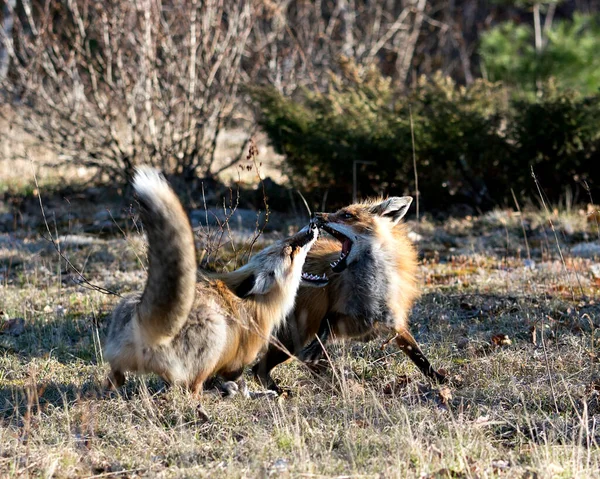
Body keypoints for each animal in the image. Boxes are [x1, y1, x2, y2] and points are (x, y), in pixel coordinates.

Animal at [102, 167, 324, 396]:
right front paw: (257, 394)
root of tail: (143, 321)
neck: (257, 305)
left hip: (118, 356)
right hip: (215, 334)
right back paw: (216, 395)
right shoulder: (237, 361)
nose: (313, 225)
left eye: (286, 241)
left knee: (114, 380)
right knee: (193, 391)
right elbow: (243, 386)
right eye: (291, 250)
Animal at [253, 197, 446, 392]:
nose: (314, 214)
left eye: (346, 215)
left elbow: (420, 357)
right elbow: (327, 323)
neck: (371, 288)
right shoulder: (348, 318)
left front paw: (440, 380)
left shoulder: (391, 323)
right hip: (295, 338)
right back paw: (281, 390)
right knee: (258, 369)